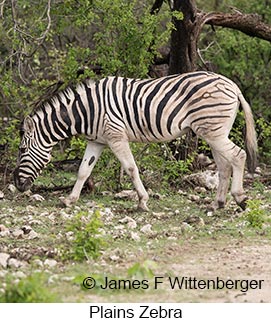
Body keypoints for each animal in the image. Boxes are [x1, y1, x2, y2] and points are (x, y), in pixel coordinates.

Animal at [13, 71, 258, 211]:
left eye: (22, 149)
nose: (17, 184)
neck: (87, 111)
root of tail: (232, 85)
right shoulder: (97, 141)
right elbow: (83, 171)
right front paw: (69, 200)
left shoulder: (116, 136)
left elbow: (131, 168)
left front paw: (142, 201)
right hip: (213, 131)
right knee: (224, 165)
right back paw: (217, 204)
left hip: (212, 130)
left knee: (238, 155)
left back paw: (240, 198)